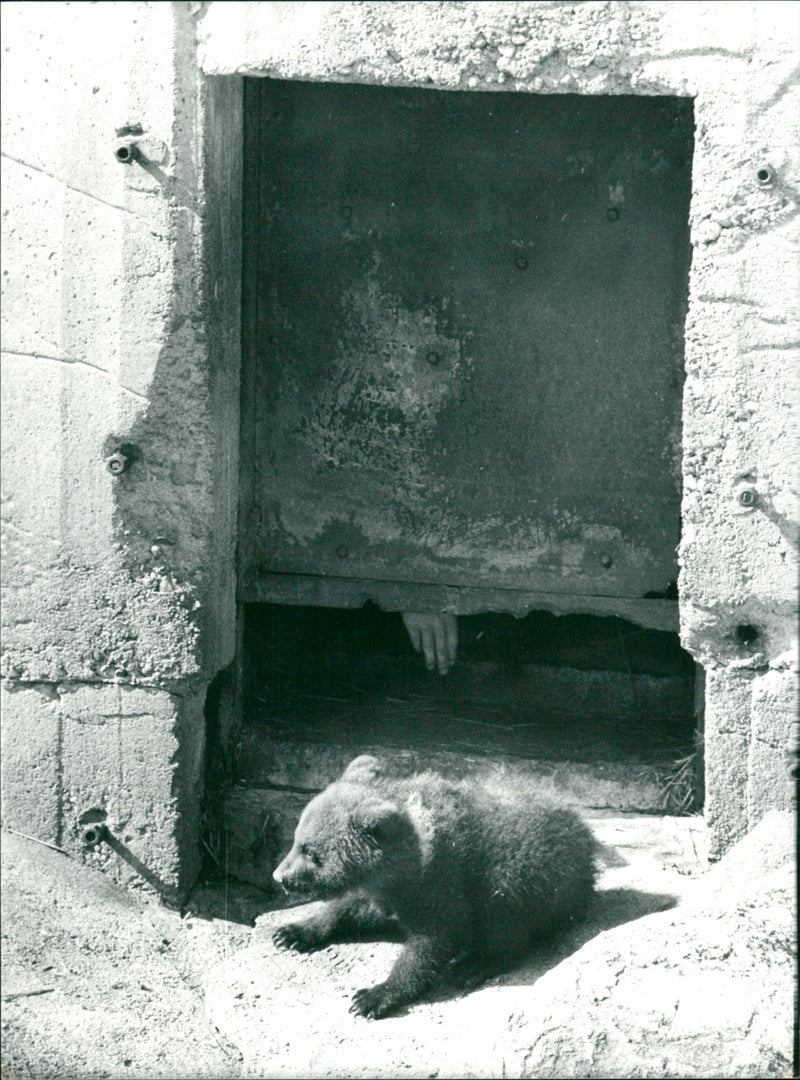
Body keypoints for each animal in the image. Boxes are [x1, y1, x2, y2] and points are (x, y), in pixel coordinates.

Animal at [272, 754, 598, 1019]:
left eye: (312, 853)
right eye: (297, 839)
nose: (279, 876)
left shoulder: (438, 884)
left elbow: (434, 940)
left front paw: (372, 996)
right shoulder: (383, 891)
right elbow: (348, 907)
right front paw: (292, 932)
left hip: (523, 873)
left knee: (505, 921)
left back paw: (473, 964)